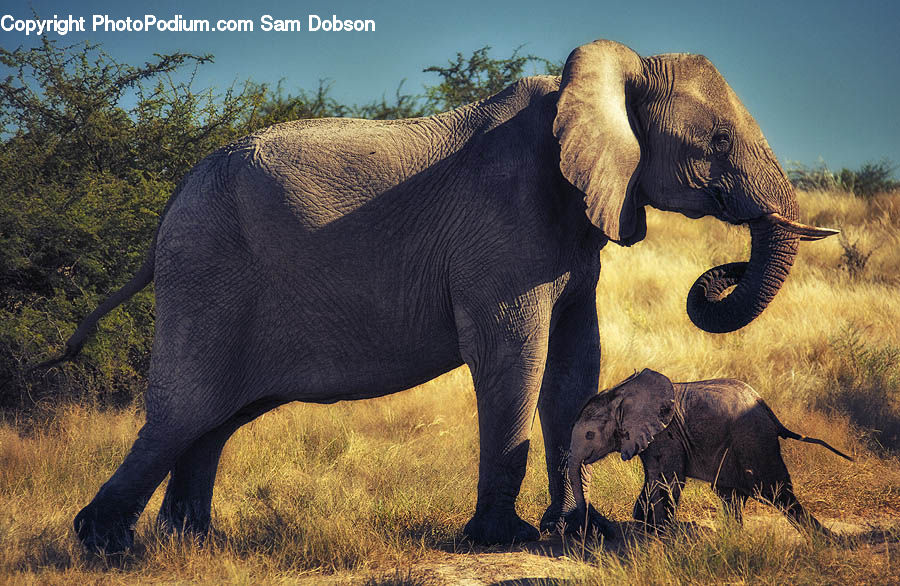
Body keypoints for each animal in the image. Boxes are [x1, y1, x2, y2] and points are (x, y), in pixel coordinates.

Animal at [567, 369, 853, 537]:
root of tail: (767, 408)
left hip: (752, 438)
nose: (586, 528)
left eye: (589, 435)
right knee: (731, 494)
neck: (622, 393)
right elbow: (652, 478)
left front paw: (658, 534)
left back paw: (825, 541)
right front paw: (645, 525)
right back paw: (733, 537)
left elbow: (667, 481)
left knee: (774, 491)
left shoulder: (666, 434)